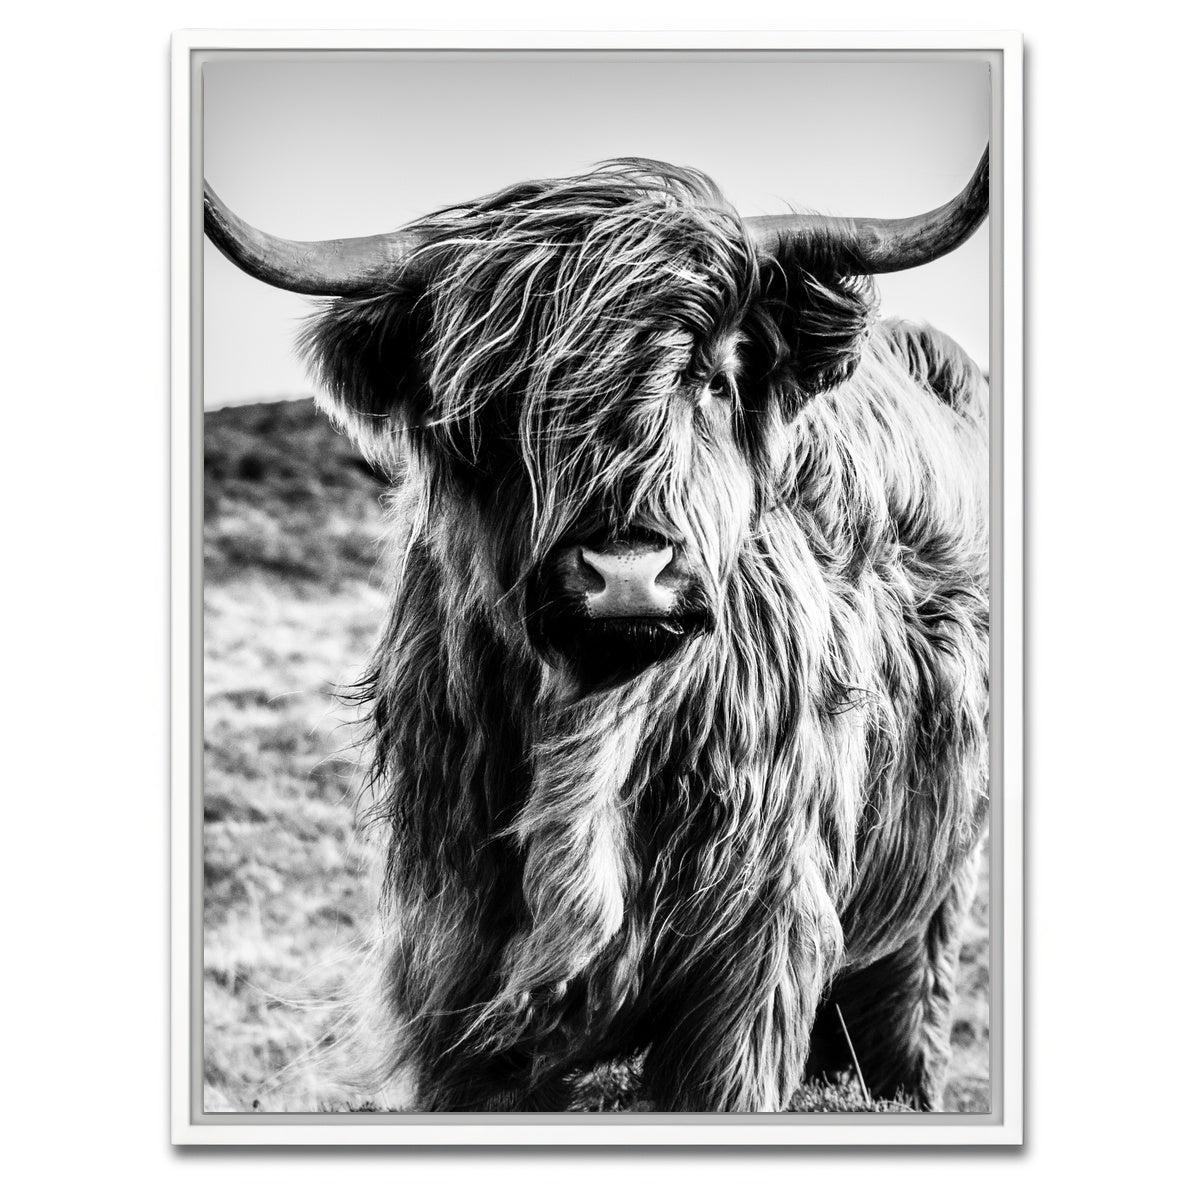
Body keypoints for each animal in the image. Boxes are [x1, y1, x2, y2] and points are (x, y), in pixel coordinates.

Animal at [205, 147, 991, 1113]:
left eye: (712, 378)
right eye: (500, 403)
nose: (626, 573)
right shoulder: (453, 971)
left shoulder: (754, 960)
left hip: (932, 909)